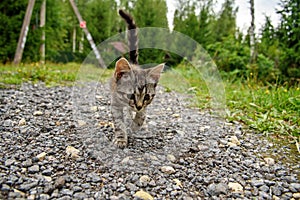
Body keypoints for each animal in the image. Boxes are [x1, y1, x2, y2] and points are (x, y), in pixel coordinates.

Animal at [110, 9, 164, 148]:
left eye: (147, 97)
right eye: (130, 95)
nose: (138, 106)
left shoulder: (145, 105)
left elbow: (142, 114)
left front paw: (137, 123)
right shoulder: (115, 103)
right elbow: (119, 122)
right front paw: (121, 138)